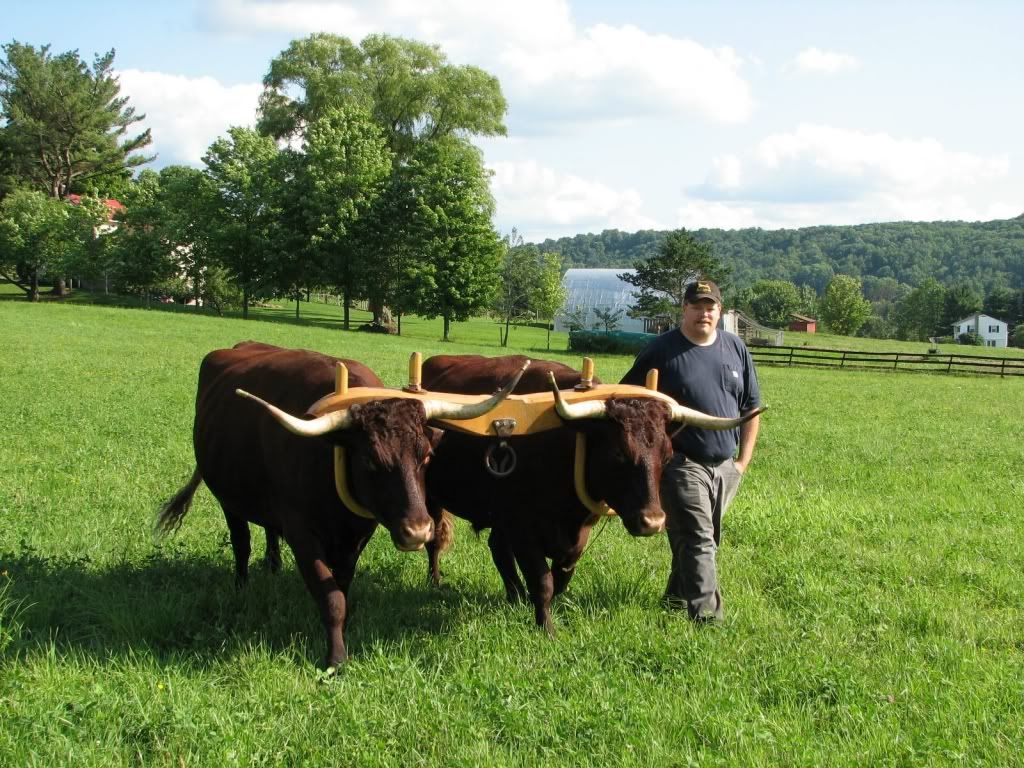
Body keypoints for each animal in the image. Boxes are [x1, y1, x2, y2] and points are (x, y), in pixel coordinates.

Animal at [156, 341, 522, 666]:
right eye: (370, 461)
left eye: (427, 456)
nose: (418, 531)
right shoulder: (302, 533)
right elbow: (331, 597)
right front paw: (336, 658)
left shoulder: (355, 536)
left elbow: (342, 588)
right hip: (229, 500)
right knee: (241, 544)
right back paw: (242, 588)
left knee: (269, 533)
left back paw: (273, 568)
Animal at [421, 354, 760, 635]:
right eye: (619, 453)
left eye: (666, 455)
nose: (652, 521)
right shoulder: (522, 528)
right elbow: (543, 582)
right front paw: (547, 629)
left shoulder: (573, 533)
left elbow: (561, 577)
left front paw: (535, 608)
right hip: (432, 499)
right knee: (436, 540)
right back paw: (435, 582)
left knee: (497, 549)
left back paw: (513, 596)